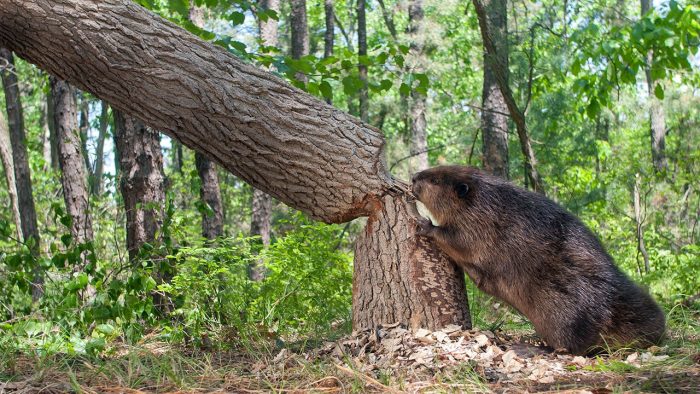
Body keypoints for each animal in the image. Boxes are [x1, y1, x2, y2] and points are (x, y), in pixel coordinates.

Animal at [412, 165, 664, 356]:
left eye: (435, 179)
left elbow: (458, 240)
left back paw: (529, 347)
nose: (414, 177)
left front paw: (424, 224)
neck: (485, 200)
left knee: (570, 347)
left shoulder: (480, 225)